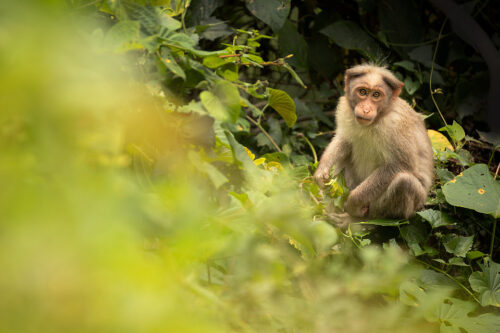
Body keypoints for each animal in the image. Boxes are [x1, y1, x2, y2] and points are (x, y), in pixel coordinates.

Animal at [314, 64, 436, 226]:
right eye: (362, 92)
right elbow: (345, 140)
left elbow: (401, 165)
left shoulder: (396, 125)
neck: (379, 118)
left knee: (404, 182)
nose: (366, 109)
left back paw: (361, 221)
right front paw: (322, 170)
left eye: (376, 95)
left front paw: (353, 201)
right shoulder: (345, 109)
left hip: (414, 205)